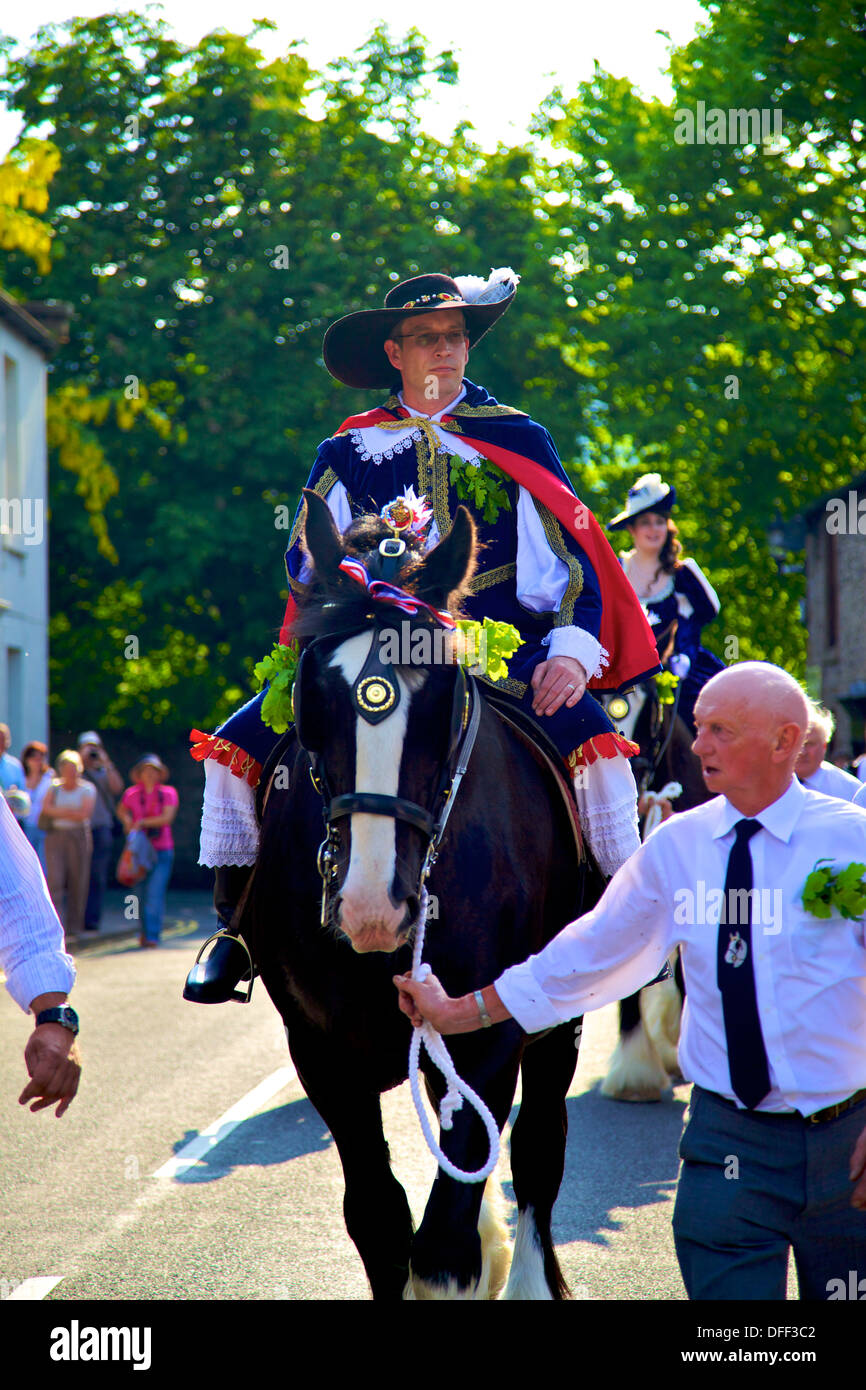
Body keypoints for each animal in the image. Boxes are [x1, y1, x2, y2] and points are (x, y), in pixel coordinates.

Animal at [241, 494, 608, 1295]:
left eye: (443, 693)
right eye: (315, 693)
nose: (372, 908)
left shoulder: (492, 1032)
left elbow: (443, 1245)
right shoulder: (321, 1051)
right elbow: (379, 1220)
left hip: (557, 1024)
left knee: (539, 1153)